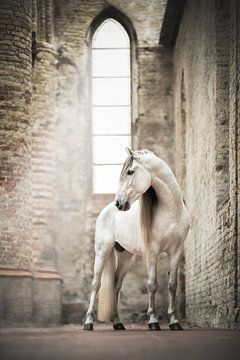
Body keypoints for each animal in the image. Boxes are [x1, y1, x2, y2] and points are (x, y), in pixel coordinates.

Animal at [83, 148, 190, 330]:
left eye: (130, 172)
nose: (119, 203)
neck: (171, 213)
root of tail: (106, 210)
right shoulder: (152, 252)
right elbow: (152, 285)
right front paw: (153, 321)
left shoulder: (176, 251)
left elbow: (172, 285)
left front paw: (174, 322)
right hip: (102, 251)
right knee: (96, 284)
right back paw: (88, 322)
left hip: (125, 256)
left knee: (116, 285)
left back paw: (118, 322)